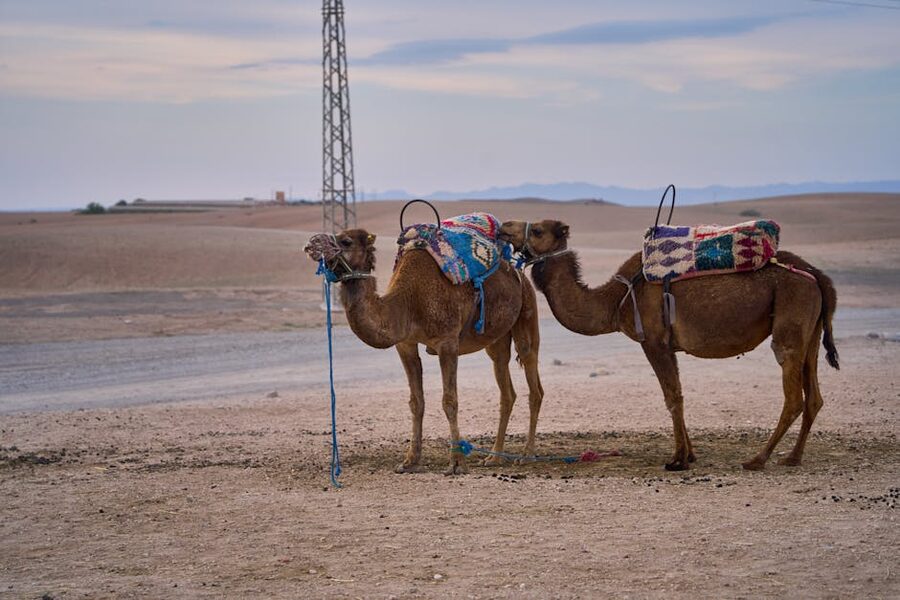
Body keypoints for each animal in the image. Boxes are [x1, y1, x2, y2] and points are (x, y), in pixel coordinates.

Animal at [305, 228, 544, 475]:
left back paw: (526, 455)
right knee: (506, 388)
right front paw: (410, 460)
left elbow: (450, 401)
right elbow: (416, 402)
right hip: (496, 339)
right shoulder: (405, 344)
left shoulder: (447, 342)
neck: (408, 302)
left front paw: (456, 462)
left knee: (533, 383)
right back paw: (494, 457)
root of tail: (517, 272)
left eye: (346, 241)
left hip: (527, 311)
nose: (311, 244)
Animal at [499, 219, 839, 471]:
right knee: (814, 396)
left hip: (790, 323)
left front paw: (677, 460)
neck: (615, 301)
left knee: (793, 395)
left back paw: (757, 459)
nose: (503, 226)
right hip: (811, 333)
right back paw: (792, 457)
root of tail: (818, 277)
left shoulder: (654, 342)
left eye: (538, 230)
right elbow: (679, 394)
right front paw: (689, 454)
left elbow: (671, 396)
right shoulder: (669, 346)